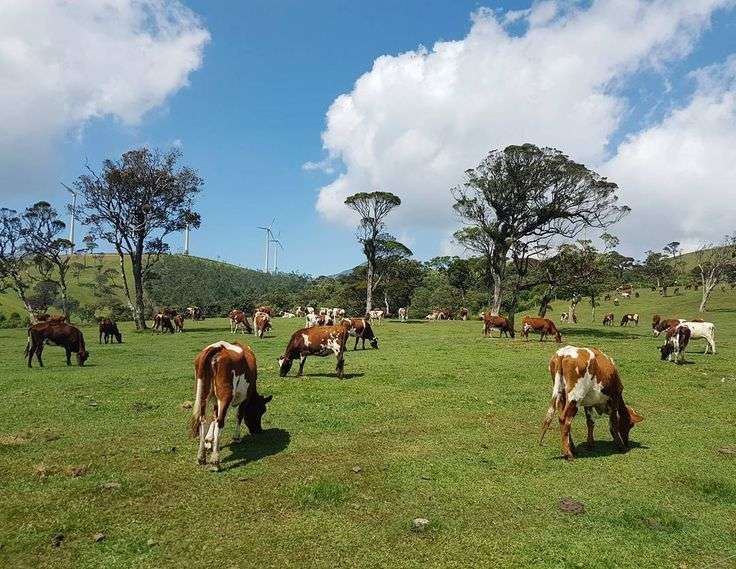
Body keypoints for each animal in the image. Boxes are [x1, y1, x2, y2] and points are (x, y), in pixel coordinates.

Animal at [188, 340, 272, 468]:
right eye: (260, 411)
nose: (258, 430)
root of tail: (218, 347)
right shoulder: (245, 398)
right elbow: (239, 416)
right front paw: (236, 437)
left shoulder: (215, 401)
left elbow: (213, 416)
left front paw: (209, 440)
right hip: (225, 396)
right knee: (220, 422)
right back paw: (215, 461)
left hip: (202, 394)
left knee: (203, 420)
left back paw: (201, 457)